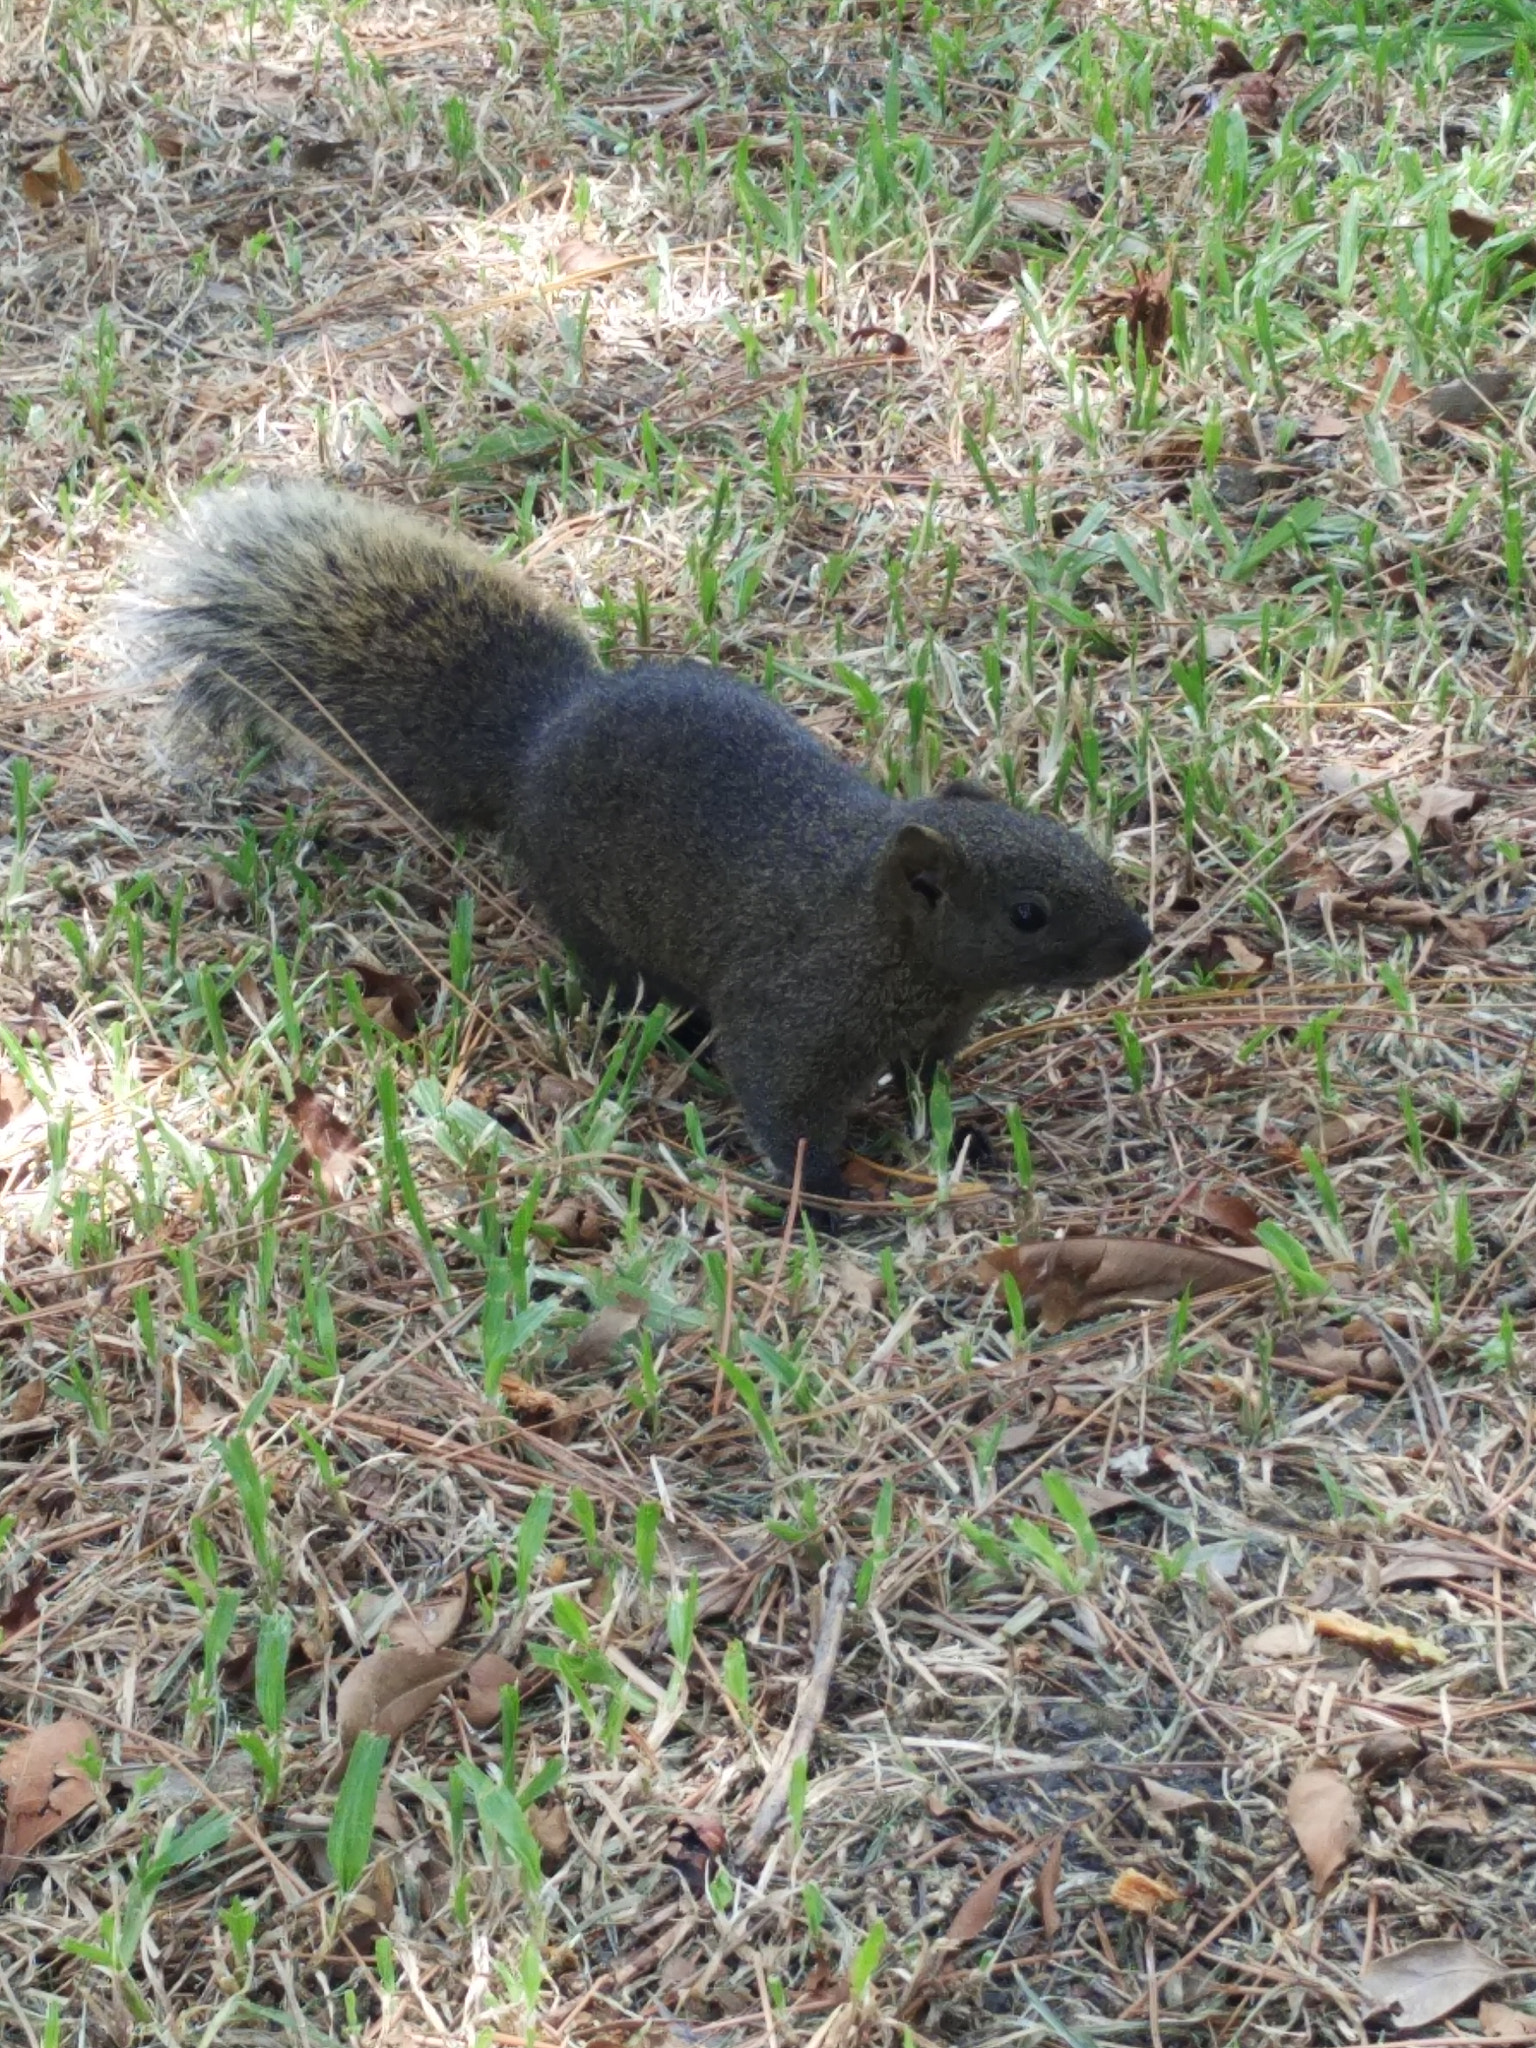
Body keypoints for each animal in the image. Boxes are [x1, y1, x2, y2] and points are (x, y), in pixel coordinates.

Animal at [117, 481, 1151, 1208]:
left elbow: (932, 1086)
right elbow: (782, 1105)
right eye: (1028, 914)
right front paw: (825, 1196)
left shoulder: (935, 1029)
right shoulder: (795, 1010)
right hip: (591, 918)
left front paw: (965, 1136)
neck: (886, 937)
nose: (1137, 942)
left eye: (1081, 848)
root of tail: (540, 735)